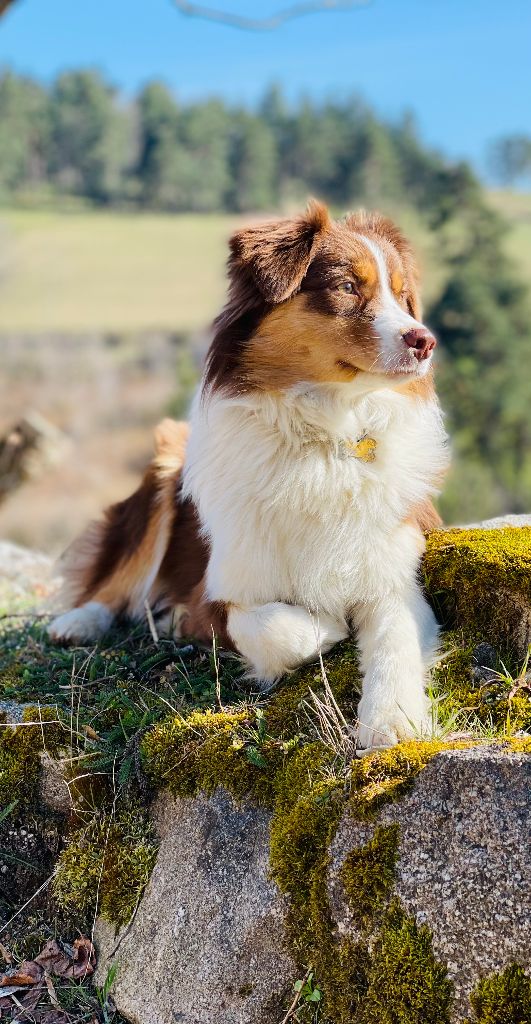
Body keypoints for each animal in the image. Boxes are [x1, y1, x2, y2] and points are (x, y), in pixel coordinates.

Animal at [48, 201, 448, 753]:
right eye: (347, 287)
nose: (425, 341)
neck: (324, 435)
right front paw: (330, 622)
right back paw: (79, 622)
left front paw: (394, 719)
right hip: (165, 460)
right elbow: (280, 627)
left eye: (404, 296)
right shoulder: (221, 591)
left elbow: (397, 639)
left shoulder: (394, 572)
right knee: (112, 583)